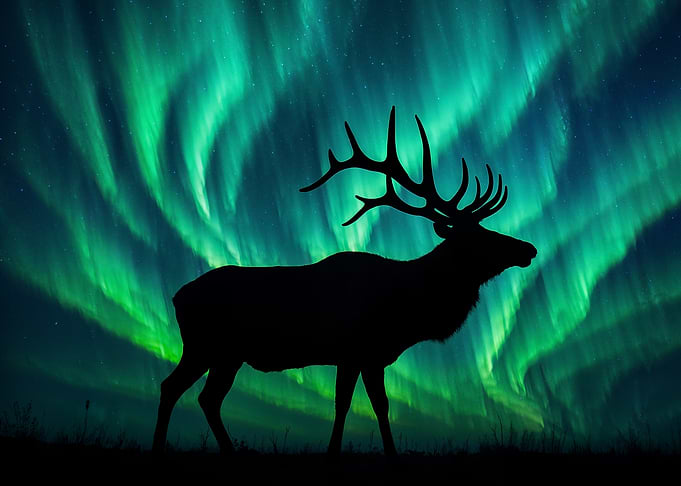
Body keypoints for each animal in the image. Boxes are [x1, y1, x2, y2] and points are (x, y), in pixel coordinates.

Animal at [151, 106, 537, 456]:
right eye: (479, 238)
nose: (529, 248)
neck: (410, 307)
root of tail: (176, 297)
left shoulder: (366, 356)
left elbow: (368, 405)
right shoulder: (357, 351)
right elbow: (355, 405)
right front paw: (351, 452)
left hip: (226, 355)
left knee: (206, 397)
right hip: (204, 345)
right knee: (174, 387)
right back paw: (161, 448)